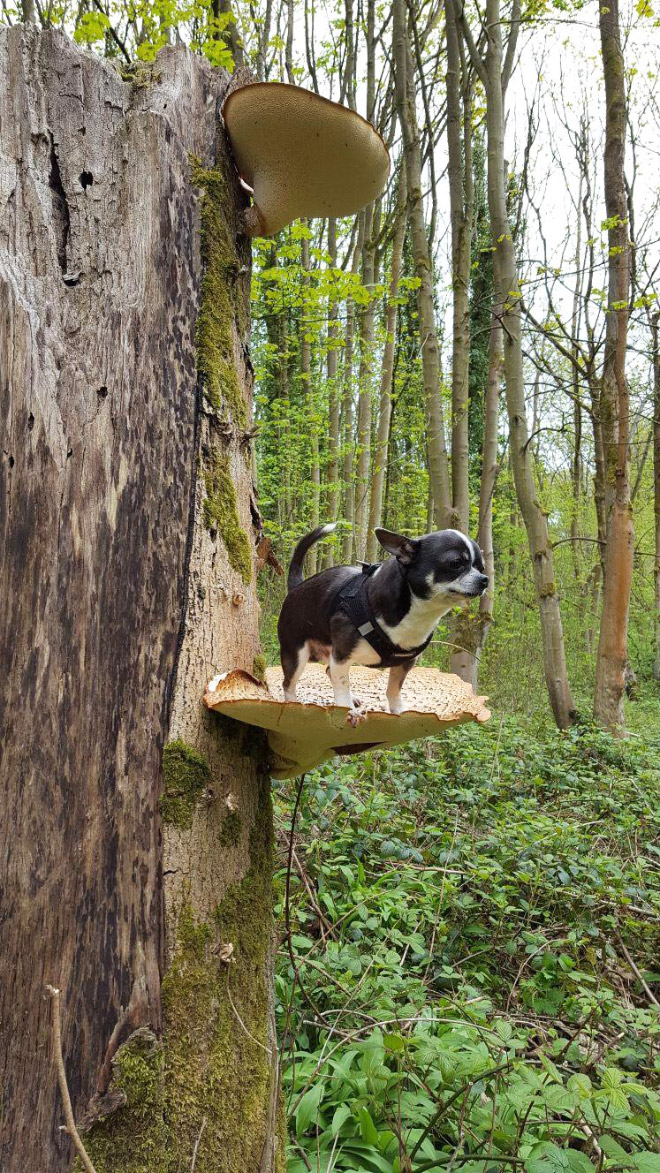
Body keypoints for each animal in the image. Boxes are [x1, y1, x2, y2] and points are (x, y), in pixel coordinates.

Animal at [276, 525, 487, 713]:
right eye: (455, 563)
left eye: (481, 567)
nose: (485, 579)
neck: (417, 614)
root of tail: (297, 587)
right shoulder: (342, 655)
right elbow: (342, 687)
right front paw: (346, 711)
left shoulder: (405, 663)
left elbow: (393, 689)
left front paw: (399, 711)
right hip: (297, 654)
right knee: (289, 683)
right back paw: (293, 704)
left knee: (329, 671)